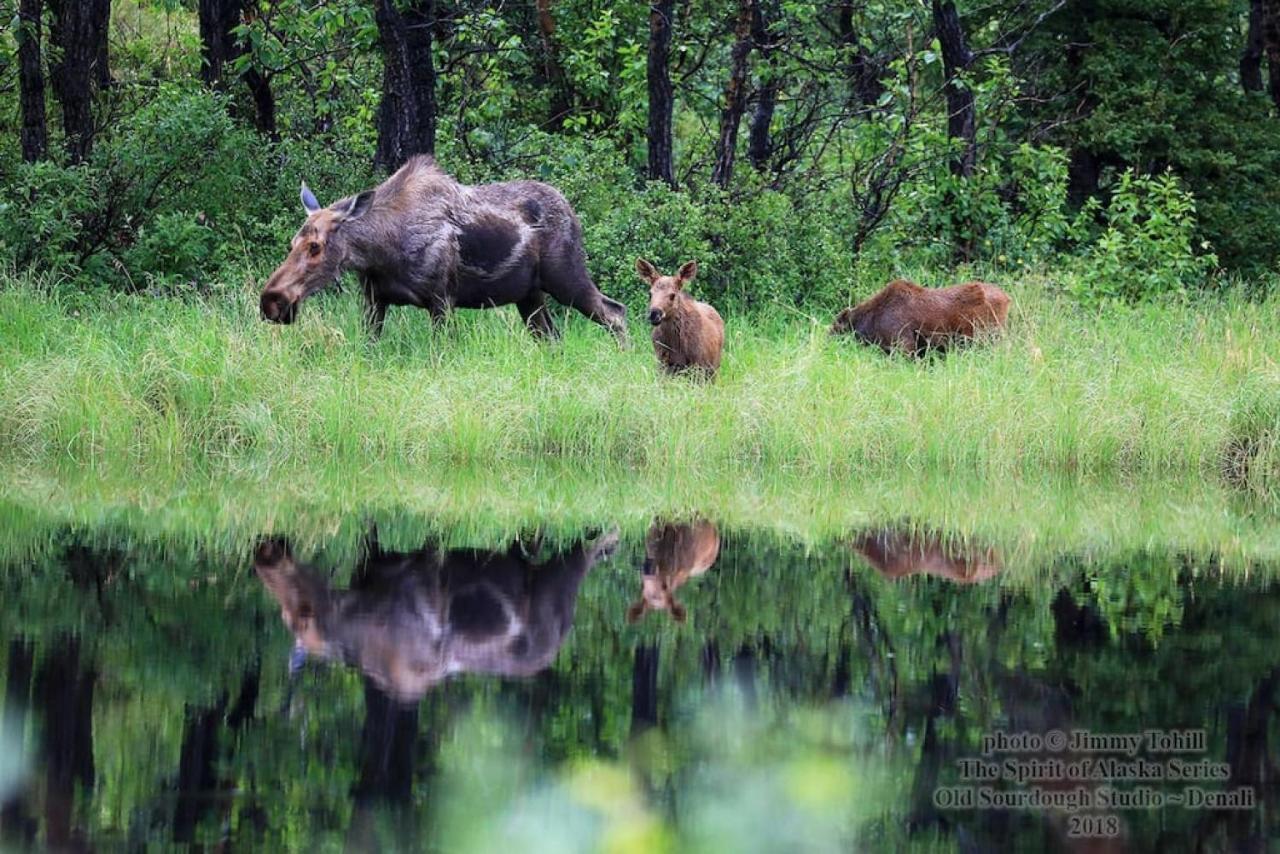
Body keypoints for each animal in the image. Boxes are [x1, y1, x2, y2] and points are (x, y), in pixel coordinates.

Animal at [257, 155, 627, 343]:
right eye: (293, 243)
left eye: (316, 246)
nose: (272, 301)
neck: (380, 254)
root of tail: (572, 210)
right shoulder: (374, 301)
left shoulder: (441, 300)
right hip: (530, 296)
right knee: (554, 338)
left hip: (566, 276)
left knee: (616, 313)